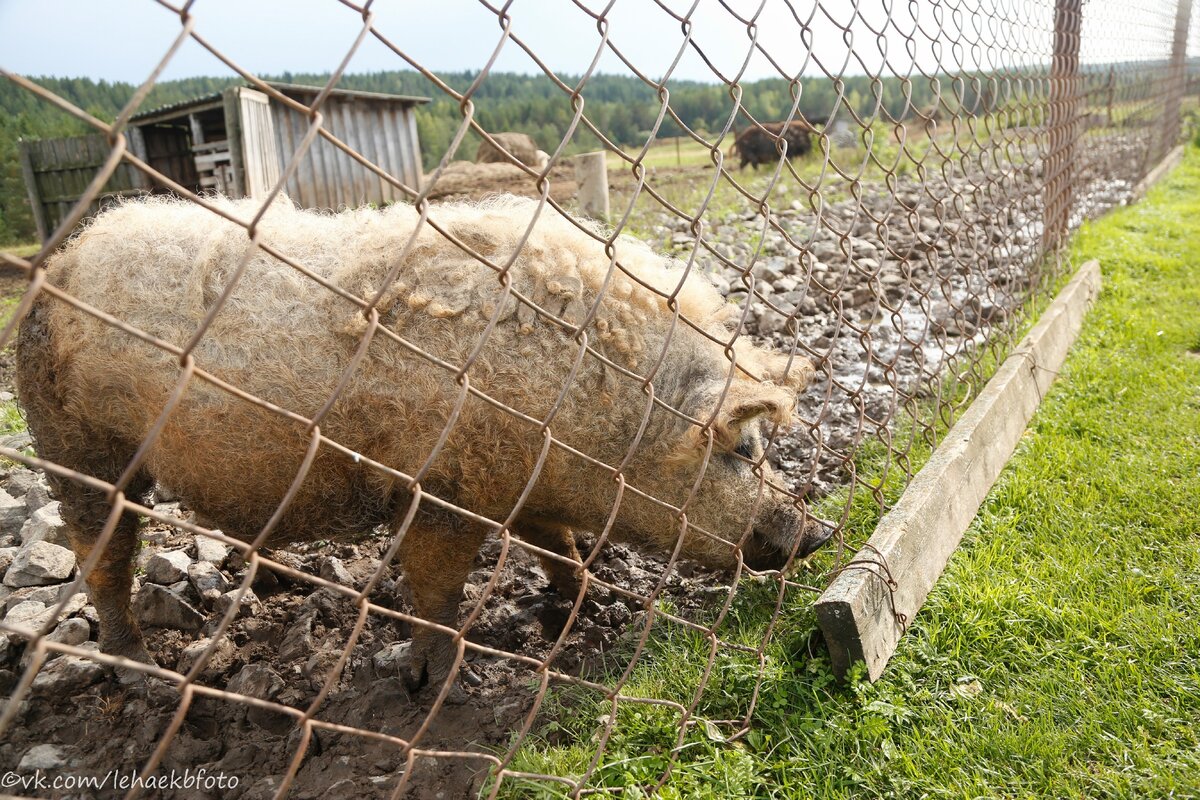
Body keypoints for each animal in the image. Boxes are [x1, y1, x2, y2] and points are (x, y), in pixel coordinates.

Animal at [14, 194, 830, 690]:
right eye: (744, 451)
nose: (817, 532)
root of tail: (59, 263)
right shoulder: (441, 491)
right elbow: (438, 588)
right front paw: (430, 678)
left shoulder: (525, 487)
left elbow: (557, 544)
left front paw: (579, 603)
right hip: (76, 446)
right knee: (102, 556)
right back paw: (137, 669)